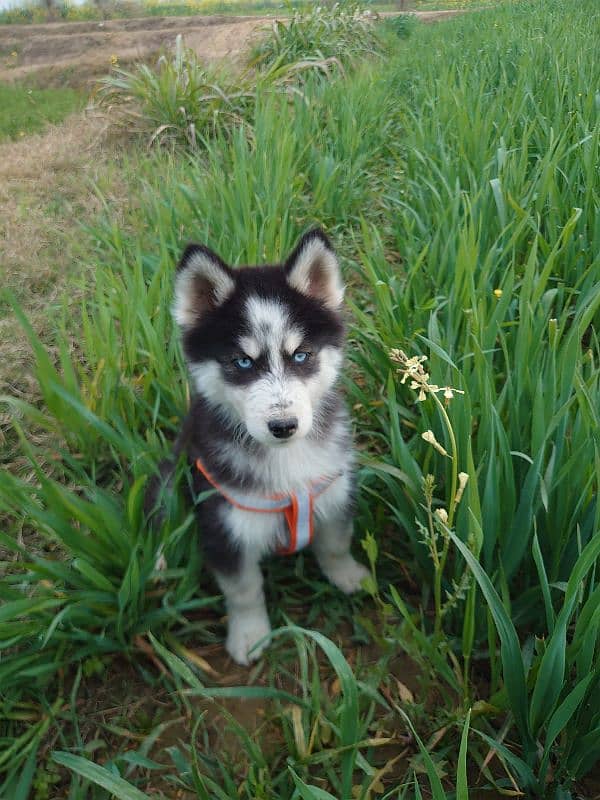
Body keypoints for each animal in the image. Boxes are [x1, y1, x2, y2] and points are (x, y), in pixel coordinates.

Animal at [162, 228, 366, 664]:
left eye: (301, 355)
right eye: (242, 362)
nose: (283, 426)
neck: (286, 462)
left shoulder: (334, 490)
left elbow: (336, 544)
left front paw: (349, 576)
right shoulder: (224, 523)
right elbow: (244, 590)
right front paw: (250, 635)